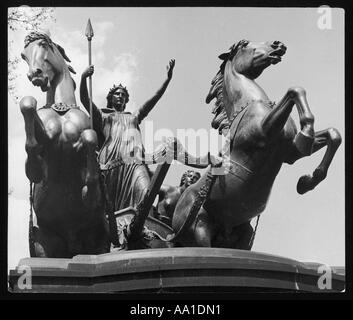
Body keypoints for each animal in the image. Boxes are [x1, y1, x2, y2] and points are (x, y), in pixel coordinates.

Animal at [19, 31, 110, 258]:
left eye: (44, 44)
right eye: (24, 55)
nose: (35, 75)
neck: (62, 108)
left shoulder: (80, 142)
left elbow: (89, 138)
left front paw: (89, 193)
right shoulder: (46, 144)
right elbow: (27, 104)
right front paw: (33, 161)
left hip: (98, 241)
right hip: (43, 245)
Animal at [170, 40, 340, 249]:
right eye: (244, 44)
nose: (278, 44)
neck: (250, 103)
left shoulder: (289, 153)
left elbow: (334, 134)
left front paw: (307, 181)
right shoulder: (264, 133)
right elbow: (295, 90)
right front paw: (306, 134)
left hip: (243, 233)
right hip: (199, 227)